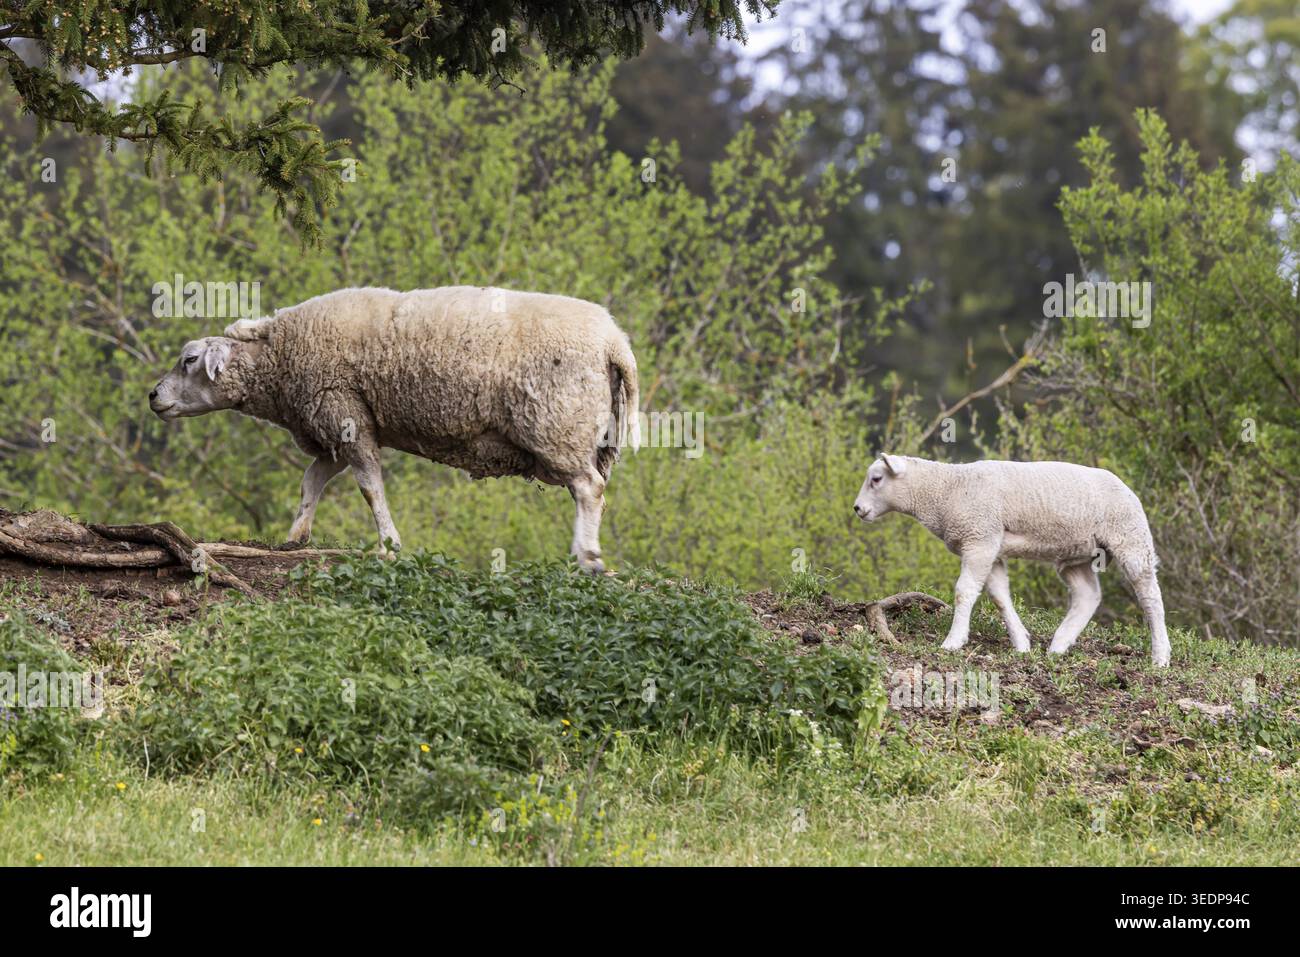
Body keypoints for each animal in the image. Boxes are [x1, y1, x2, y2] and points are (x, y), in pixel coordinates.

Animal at [149, 286, 640, 572]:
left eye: (189, 360)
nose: (153, 396)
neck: (280, 357)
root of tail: (615, 343)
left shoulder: (343, 411)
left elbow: (370, 486)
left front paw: (388, 544)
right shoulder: (333, 423)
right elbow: (311, 482)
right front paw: (295, 538)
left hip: (557, 425)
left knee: (588, 488)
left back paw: (587, 558)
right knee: (593, 491)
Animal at [853, 455, 1170, 667]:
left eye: (876, 479)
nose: (857, 509)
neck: (946, 490)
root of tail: (1127, 487)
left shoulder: (979, 538)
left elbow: (964, 591)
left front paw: (953, 642)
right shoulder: (990, 546)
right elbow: (999, 596)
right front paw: (1021, 643)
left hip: (1130, 538)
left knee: (1150, 595)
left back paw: (1160, 656)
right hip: (1076, 553)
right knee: (1087, 595)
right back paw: (1059, 645)